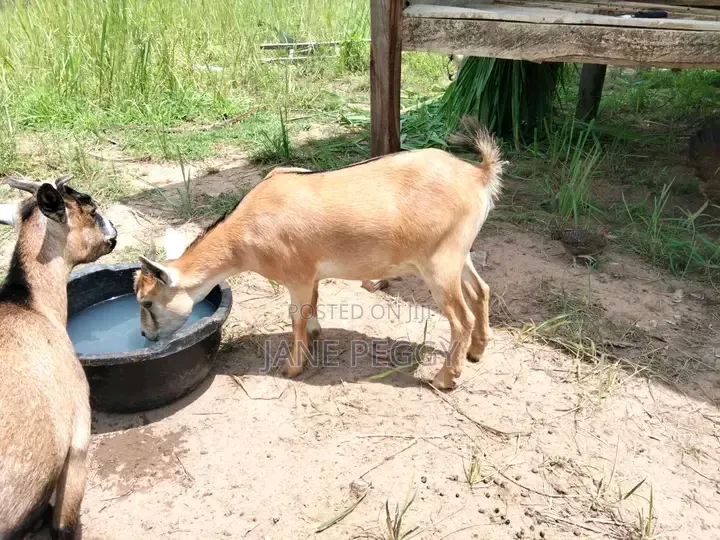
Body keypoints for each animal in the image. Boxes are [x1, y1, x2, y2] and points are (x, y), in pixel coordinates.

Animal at [134, 117, 504, 389]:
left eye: (147, 302)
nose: (145, 335)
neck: (245, 233)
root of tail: (478, 175)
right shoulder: (310, 271)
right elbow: (312, 303)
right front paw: (314, 335)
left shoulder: (296, 273)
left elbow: (295, 314)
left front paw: (292, 367)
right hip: (459, 253)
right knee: (481, 290)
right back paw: (476, 352)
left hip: (439, 263)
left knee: (461, 318)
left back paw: (445, 378)